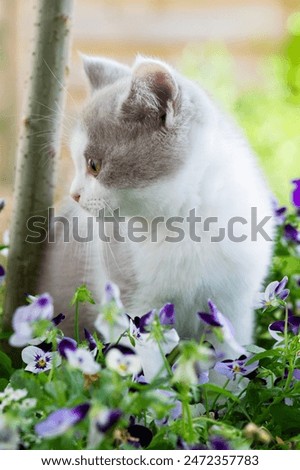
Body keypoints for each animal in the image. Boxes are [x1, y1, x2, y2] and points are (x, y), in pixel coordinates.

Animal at [38, 55, 276, 356]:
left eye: (94, 165)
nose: (74, 194)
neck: (184, 221)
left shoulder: (234, 305)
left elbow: (231, 348)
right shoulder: (135, 303)